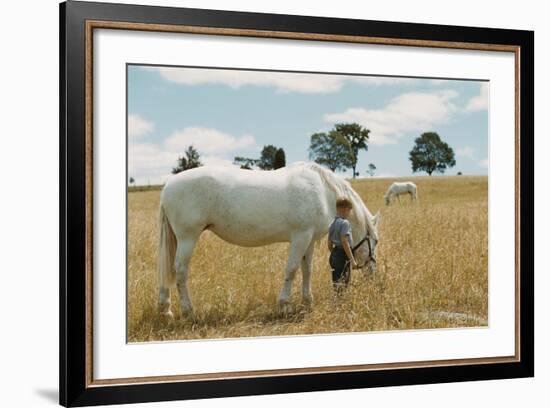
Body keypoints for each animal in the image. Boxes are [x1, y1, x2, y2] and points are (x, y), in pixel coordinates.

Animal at [157, 161, 382, 318]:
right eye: (376, 240)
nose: (373, 273)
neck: (323, 191)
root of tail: (168, 186)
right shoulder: (300, 237)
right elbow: (291, 270)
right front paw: (284, 305)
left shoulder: (308, 241)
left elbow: (306, 270)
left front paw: (307, 302)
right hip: (188, 237)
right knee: (180, 271)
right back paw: (189, 312)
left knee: (167, 270)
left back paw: (165, 310)